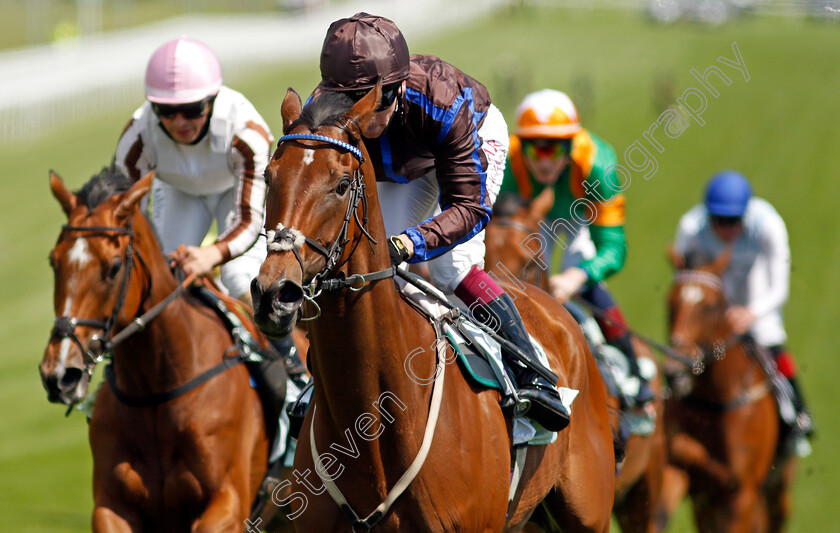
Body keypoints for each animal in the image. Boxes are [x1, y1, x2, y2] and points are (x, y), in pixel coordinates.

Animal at [41, 167, 270, 532]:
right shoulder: (111, 505)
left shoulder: (229, 500)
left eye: (114, 267)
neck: (157, 389)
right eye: (54, 262)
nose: (59, 374)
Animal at [656, 250, 796, 532]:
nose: (674, 371)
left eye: (709, 307)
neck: (715, 402)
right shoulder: (685, 479)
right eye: (670, 302)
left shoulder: (742, 493)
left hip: (778, 490)